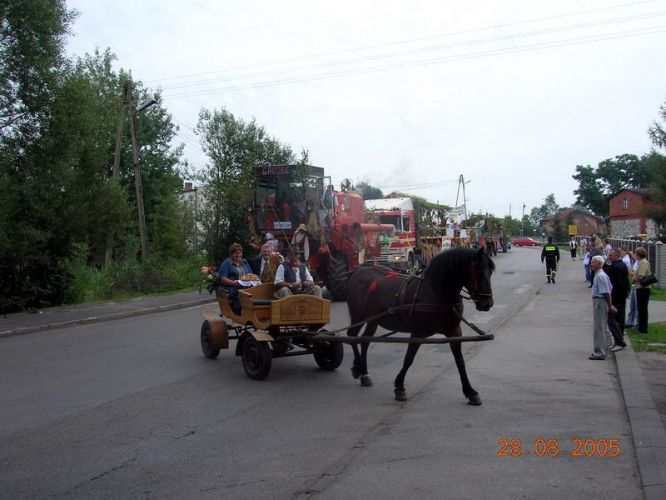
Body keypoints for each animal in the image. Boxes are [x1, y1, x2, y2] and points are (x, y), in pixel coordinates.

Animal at [344, 248, 490, 404]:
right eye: (479, 273)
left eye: (490, 272)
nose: (487, 303)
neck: (436, 294)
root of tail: (358, 271)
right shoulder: (418, 333)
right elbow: (409, 358)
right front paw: (399, 386)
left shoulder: (454, 331)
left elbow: (460, 361)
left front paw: (470, 392)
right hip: (358, 316)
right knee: (352, 336)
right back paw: (358, 367)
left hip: (373, 320)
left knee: (365, 341)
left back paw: (364, 373)